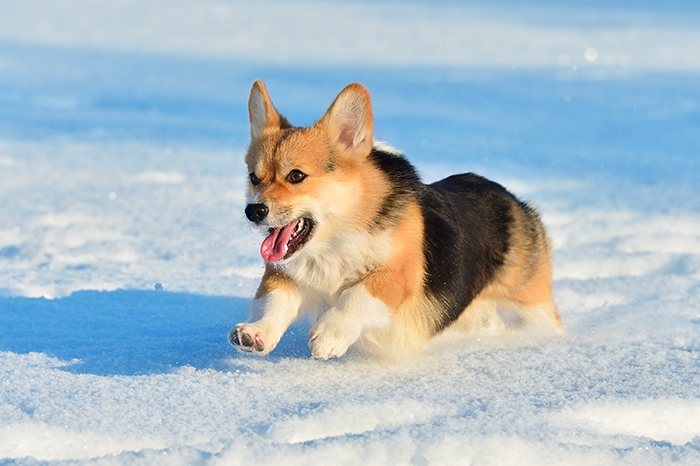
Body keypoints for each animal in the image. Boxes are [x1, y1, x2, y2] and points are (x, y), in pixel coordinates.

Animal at [230, 80, 564, 360]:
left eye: (296, 176)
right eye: (254, 178)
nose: (253, 210)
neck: (338, 238)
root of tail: (511, 199)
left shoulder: (400, 274)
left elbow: (357, 295)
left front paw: (329, 335)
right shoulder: (284, 274)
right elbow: (273, 302)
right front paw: (255, 333)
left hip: (532, 305)